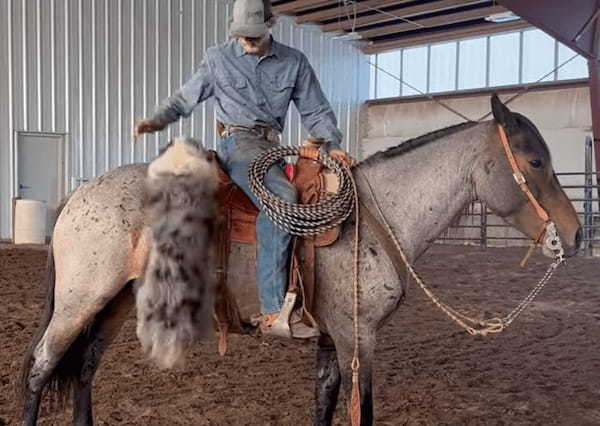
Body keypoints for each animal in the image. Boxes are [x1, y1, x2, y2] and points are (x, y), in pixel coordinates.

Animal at [19, 95, 580, 424]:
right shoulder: (359, 338)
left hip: (114, 300)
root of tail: (80, 193)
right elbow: (360, 409)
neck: (376, 217)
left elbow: (324, 401)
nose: (575, 235)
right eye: (534, 160)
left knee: (84, 369)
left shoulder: (333, 337)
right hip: (79, 300)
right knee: (41, 367)